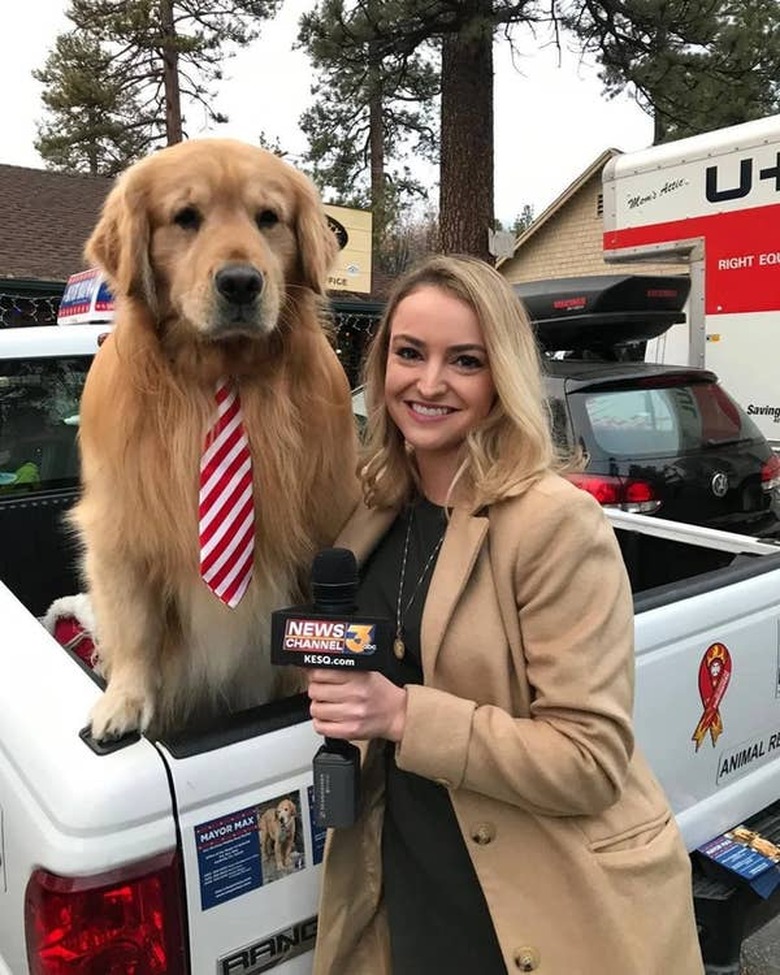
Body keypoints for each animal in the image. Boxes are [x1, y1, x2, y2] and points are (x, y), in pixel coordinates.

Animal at [69, 139, 356, 740]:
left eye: (268, 217)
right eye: (185, 217)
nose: (241, 283)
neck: (222, 375)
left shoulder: (326, 522)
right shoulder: (119, 530)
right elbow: (133, 626)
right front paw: (124, 700)